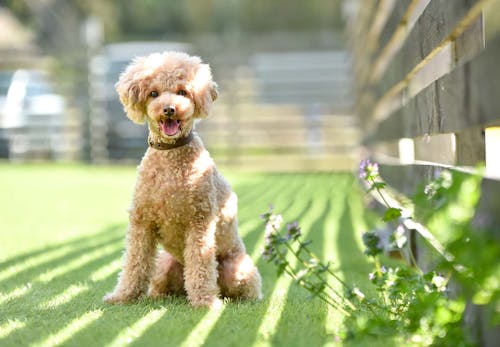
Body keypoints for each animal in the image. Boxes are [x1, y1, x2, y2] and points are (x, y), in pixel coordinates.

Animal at [104, 51, 264, 308]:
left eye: (182, 92)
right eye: (153, 93)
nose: (169, 109)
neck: (170, 157)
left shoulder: (199, 222)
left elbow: (200, 264)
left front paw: (205, 301)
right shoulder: (142, 222)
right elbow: (134, 262)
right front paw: (123, 296)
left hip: (236, 270)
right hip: (163, 265)